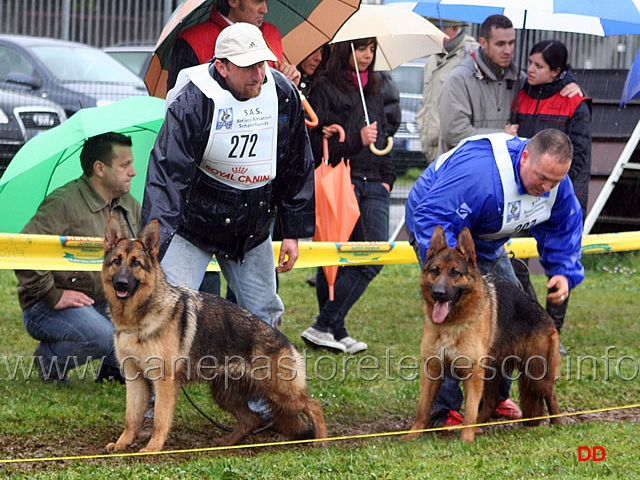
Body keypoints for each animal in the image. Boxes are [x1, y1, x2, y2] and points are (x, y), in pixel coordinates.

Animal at [102, 218, 328, 454]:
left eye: (136, 263)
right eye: (117, 261)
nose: (121, 283)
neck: (140, 318)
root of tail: (285, 341)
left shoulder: (164, 382)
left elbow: (160, 420)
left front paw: (153, 448)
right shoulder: (134, 379)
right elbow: (131, 418)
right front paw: (122, 443)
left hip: (280, 392)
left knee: (314, 405)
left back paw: (321, 441)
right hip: (226, 395)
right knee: (250, 419)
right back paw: (226, 442)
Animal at [404, 226, 560, 442]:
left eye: (455, 273)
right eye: (435, 271)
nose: (438, 293)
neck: (452, 324)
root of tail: (544, 314)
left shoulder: (473, 374)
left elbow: (469, 410)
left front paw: (466, 440)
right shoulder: (432, 371)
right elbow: (422, 408)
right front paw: (412, 435)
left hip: (536, 374)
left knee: (551, 396)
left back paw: (558, 424)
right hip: (495, 372)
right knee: (492, 401)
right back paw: (480, 426)